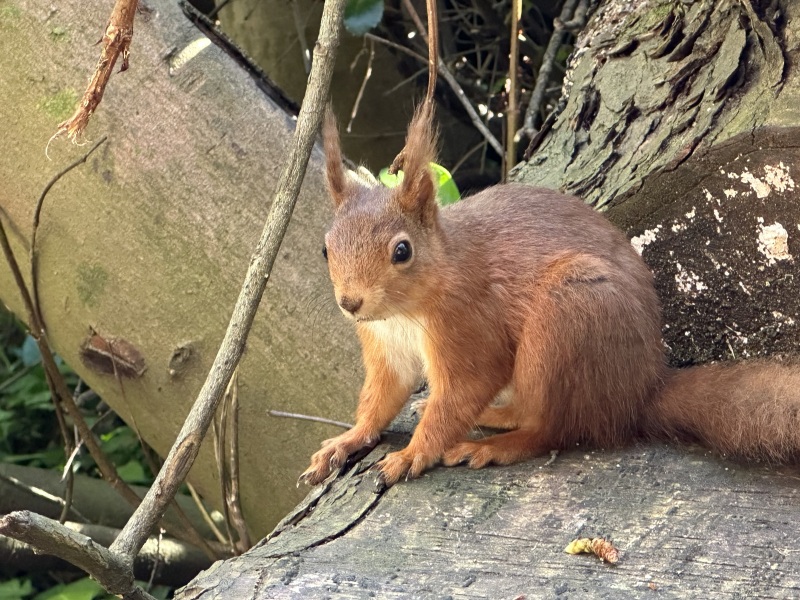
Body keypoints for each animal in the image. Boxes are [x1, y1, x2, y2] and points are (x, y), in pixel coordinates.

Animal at [300, 103, 800, 487]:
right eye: (325, 248)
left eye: (401, 251)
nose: (350, 303)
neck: (405, 312)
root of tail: (639, 391)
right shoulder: (386, 349)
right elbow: (380, 400)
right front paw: (346, 441)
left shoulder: (470, 326)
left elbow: (461, 394)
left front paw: (411, 455)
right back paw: (497, 416)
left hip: (565, 322)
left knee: (551, 429)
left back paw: (497, 444)